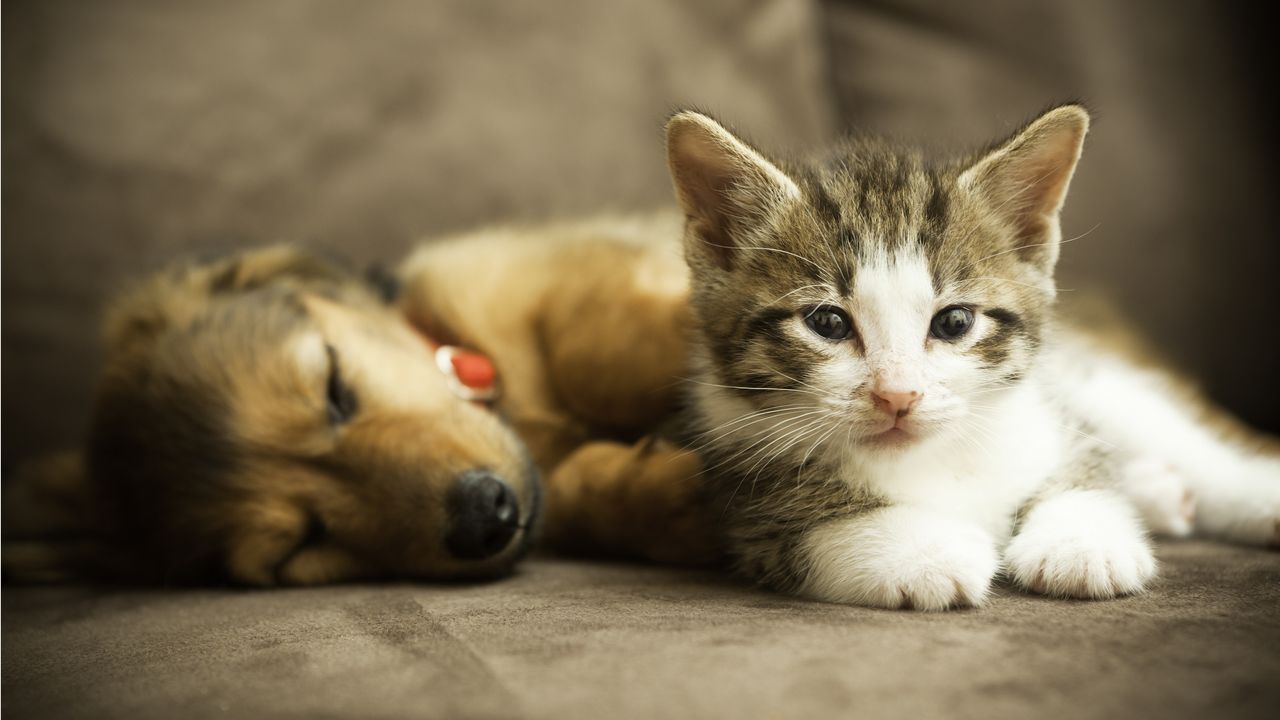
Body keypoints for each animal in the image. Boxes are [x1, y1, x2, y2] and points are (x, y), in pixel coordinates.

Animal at [5, 217, 716, 584]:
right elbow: (576, 488)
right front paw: (670, 502)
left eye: (334, 386)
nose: (485, 516)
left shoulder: (551, 285)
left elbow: (595, 347)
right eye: (302, 545)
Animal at [665, 103, 1280, 607]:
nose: (898, 395)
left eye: (954, 322)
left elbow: (1083, 466)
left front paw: (1080, 540)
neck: (935, 456)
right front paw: (922, 550)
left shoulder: (1047, 407)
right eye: (828, 323)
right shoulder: (737, 486)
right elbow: (799, 525)